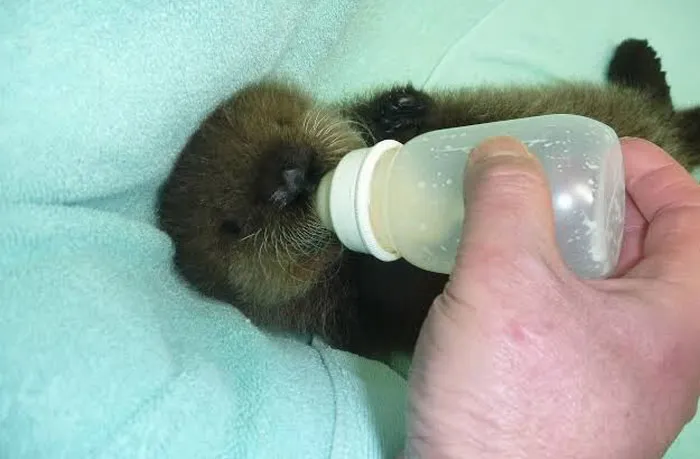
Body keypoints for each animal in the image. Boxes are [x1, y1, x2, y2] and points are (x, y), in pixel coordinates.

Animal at [157, 39, 700, 360]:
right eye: (233, 225)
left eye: (281, 122)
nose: (290, 173)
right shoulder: (357, 316)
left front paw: (398, 110)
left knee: (657, 99)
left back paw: (637, 55)